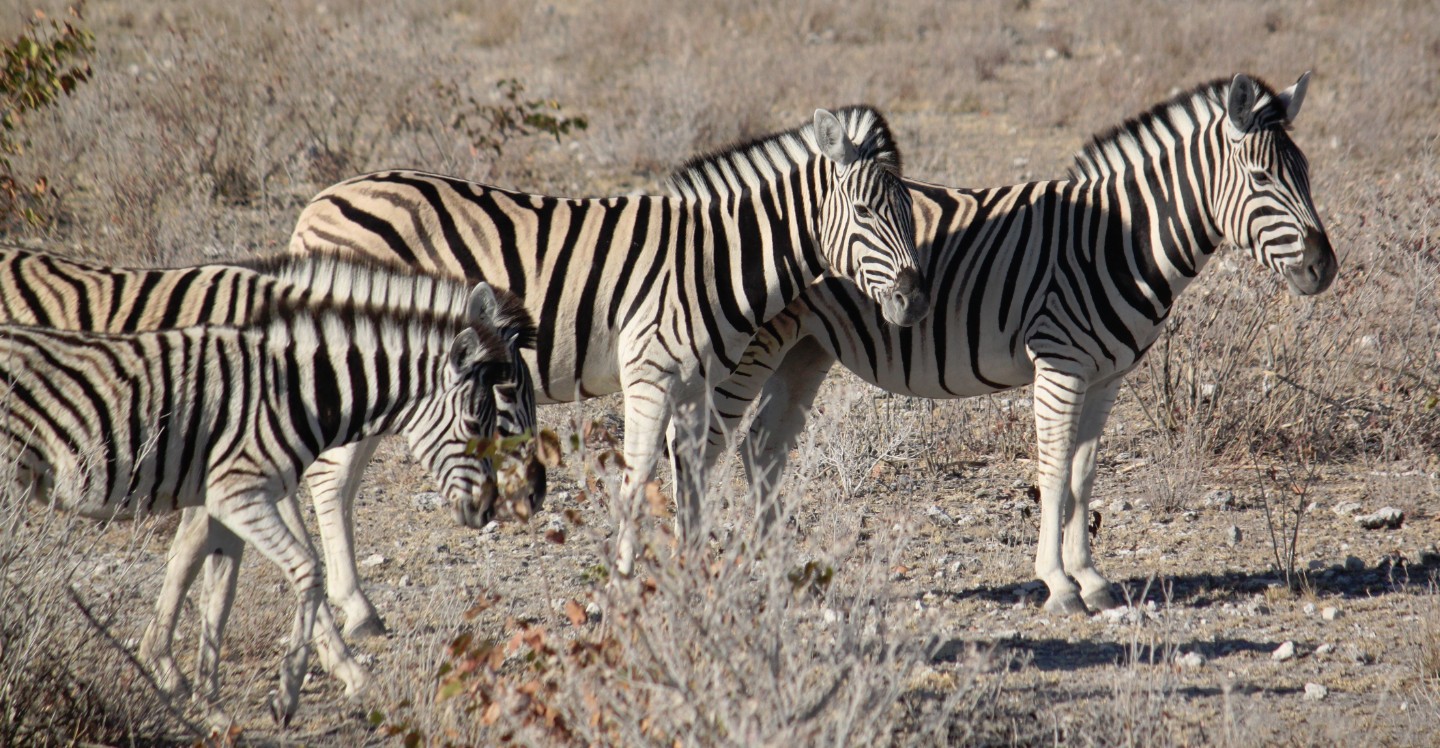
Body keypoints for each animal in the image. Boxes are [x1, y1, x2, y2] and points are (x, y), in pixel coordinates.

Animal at [0, 266, 529, 723]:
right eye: (476, 424)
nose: (490, 508)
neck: (296, 389)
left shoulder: (223, 503)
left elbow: (217, 596)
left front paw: (211, 708)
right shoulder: (242, 494)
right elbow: (307, 569)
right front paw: (289, 694)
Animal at [289, 105, 933, 573]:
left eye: (909, 210)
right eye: (865, 212)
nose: (916, 301)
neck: (711, 259)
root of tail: (319, 202)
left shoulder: (695, 383)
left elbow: (690, 476)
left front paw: (689, 571)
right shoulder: (648, 372)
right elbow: (637, 479)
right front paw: (625, 581)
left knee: (331, 480)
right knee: (328, 479)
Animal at [696, 74, 1336, 613]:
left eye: (1307, 173)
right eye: (1262, 179)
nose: (1323, 268)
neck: (1119, 240)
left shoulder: (1107, 375)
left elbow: (1082, 475)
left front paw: (1092, 579)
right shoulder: (1060, 363)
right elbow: (1052, 472)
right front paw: (1058, 584)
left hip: (805, 347)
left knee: (761, 449)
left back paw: (776, 572)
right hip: (745, 348)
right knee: (708, 449)